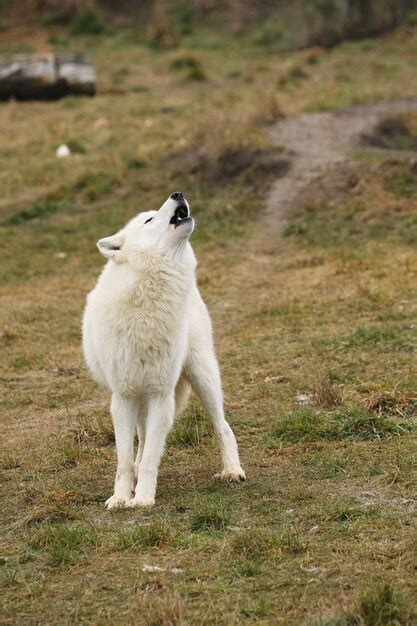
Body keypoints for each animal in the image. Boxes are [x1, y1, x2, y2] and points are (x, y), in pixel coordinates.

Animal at [81, 191, 244, 508]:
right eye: (148, 219)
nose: (178, 193)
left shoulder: (160, 395)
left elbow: (148, 460)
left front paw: (143, 499)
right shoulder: (123, 397)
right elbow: (124, 460)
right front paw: (121, 498)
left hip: (203, 377)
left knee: (223, 426)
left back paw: (232, 470)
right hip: (143, 398)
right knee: (142, 439)